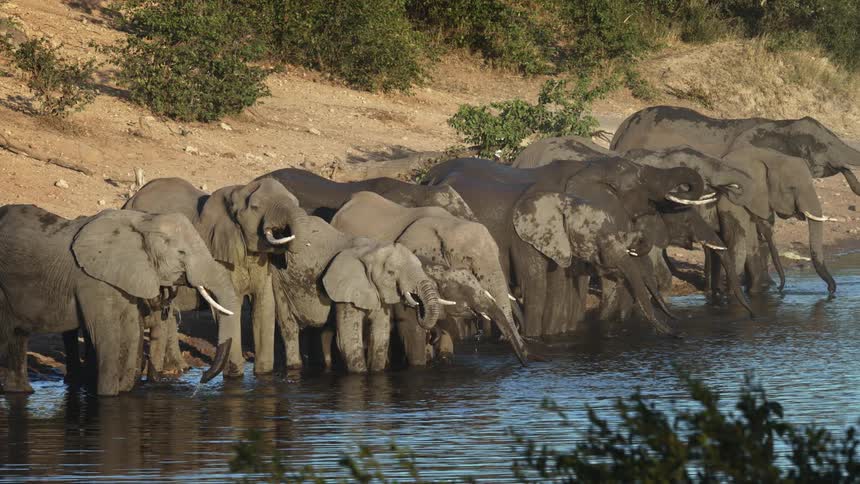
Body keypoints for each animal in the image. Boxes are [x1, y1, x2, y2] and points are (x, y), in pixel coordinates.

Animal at [0, 206, 235, 396]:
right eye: (181, 253)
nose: (203, 377)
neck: (142, 221)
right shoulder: (91, 280)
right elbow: (106, 332)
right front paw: (107, 396)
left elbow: (132, 330)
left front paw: (123, 391)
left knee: (16, 336)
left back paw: (20, 391)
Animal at [124, 177, 305, 376]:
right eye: (256, 207)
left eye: (296, 202)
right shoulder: (217, 251)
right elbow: (229, 306)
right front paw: (234, 376)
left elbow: (264, 305)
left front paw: (263, 375)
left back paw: (179, 369)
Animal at [269, 203, 442, 373]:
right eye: (391, 272)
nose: (418, 306)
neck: (370, 250)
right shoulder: (345, 288)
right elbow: (348, 339)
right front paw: (360, 374)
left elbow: (380, 335)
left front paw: (376, 372)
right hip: (278, 277)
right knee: (289, 327)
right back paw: (294, 366)